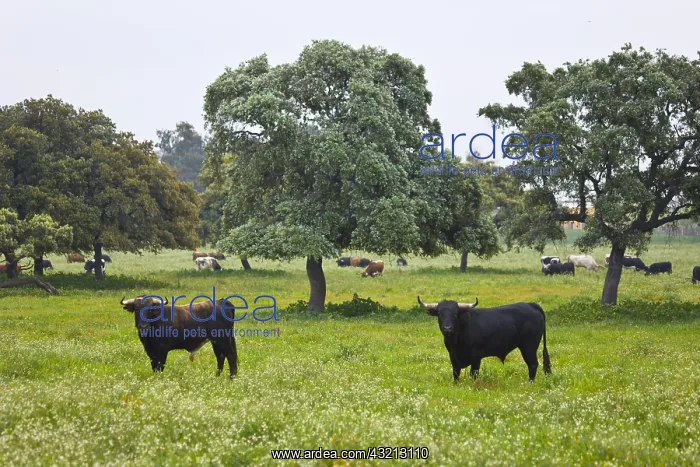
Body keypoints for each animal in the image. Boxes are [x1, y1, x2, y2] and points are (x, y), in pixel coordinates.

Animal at [418, 296, 551, 382]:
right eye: (440, 314)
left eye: (455, 313)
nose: (447, 328)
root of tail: (531, 305)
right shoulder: (453, 356)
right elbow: (455, 373)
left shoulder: (476, 356)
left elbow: (473, 373)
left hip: (529, 347)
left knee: (533, 364)